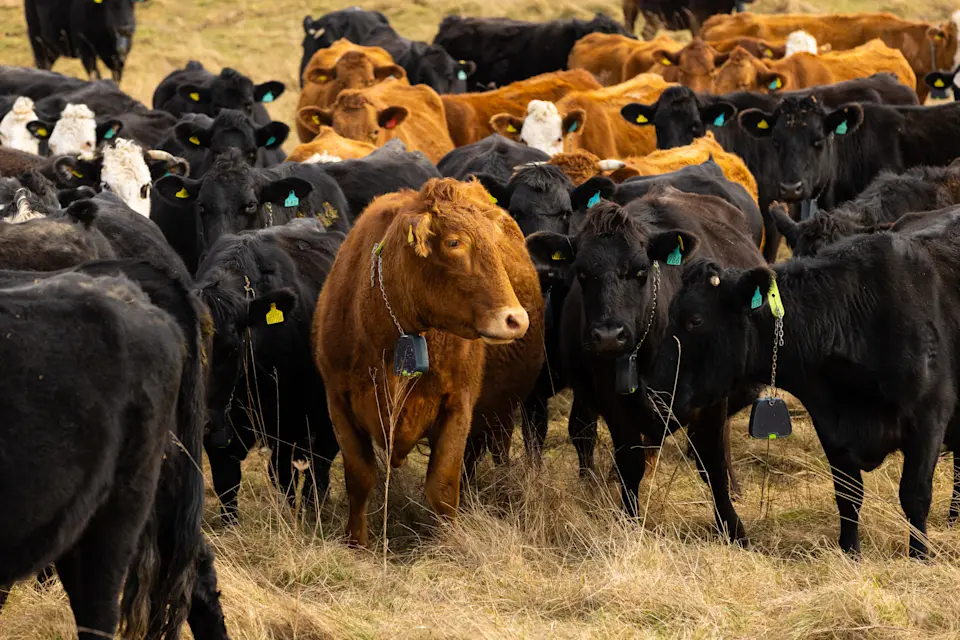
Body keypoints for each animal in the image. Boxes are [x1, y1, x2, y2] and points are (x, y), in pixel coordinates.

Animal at [197, 220, 343, 520]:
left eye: (231, 348)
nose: (203, 421)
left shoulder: (287, 422)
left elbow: (284, 473)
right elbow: (226, 480)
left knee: (319, 464)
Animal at [313, 178, 538, 547]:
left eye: (494, 244)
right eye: (454, 242)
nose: (515, 319)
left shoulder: (458, 405)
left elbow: (443, 486)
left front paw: (447, 545)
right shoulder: (338, 402)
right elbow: (359, 479)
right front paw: (356, 543)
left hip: (503, 413)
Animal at [525, 191, 762, 542]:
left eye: (640, 271)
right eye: (582, 274)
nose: (609, 335)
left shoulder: (711, 404)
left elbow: (712, 462)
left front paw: (732, 528)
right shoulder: (612, 400)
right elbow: (630, 462)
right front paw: (630, 520)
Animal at [649, 215, 960, 558]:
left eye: (695, 321)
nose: (654, 389)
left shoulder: (929, 418)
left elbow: (915, 494)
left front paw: (920, 555)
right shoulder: (830, 425)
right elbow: (848, 496)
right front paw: (850, 552)